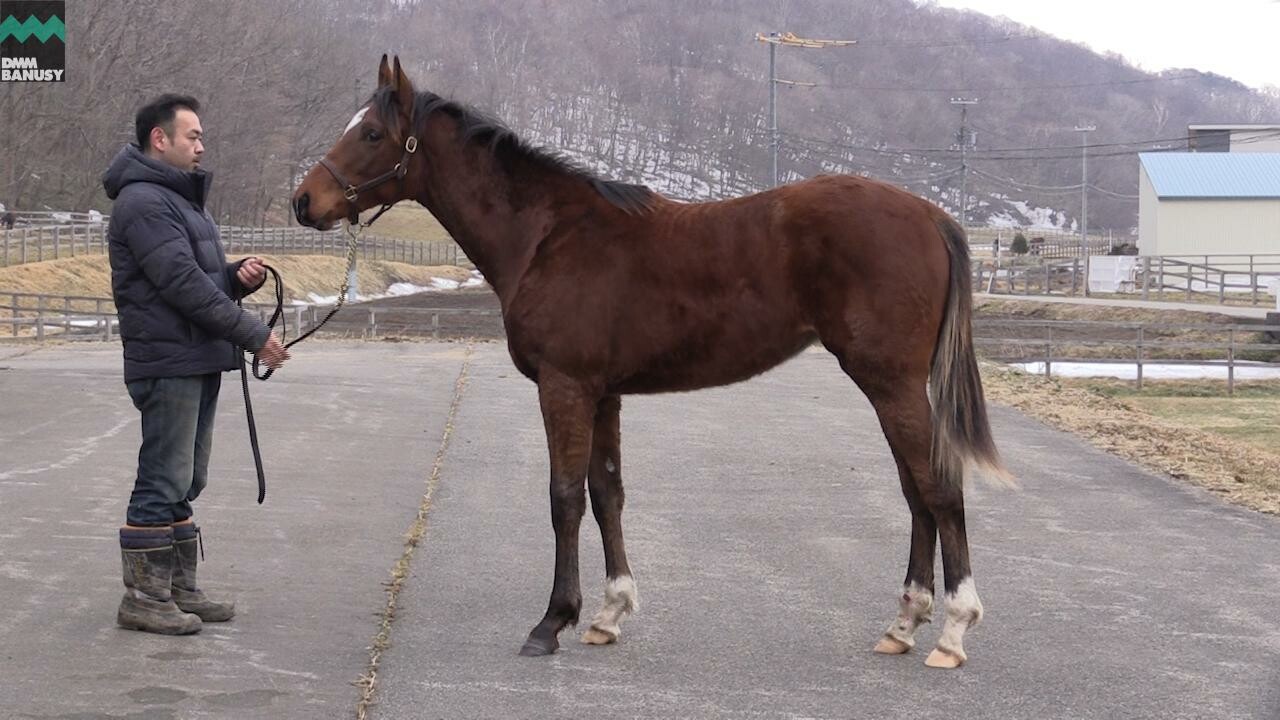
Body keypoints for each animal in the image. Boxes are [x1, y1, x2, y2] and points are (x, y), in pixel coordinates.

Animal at [294, 57, 1003, 666]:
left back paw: (953, 629)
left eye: (372, 132)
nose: (304, 201)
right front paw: (609, 614)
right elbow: (607, 493)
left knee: (938, 489)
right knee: (916, 493)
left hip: (891, 383)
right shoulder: (602, 393)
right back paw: (904, 624)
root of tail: (932, 214)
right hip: (888, 387)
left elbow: (563, 497)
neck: (549, 235)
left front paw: (552, 621)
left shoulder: (564, 388)